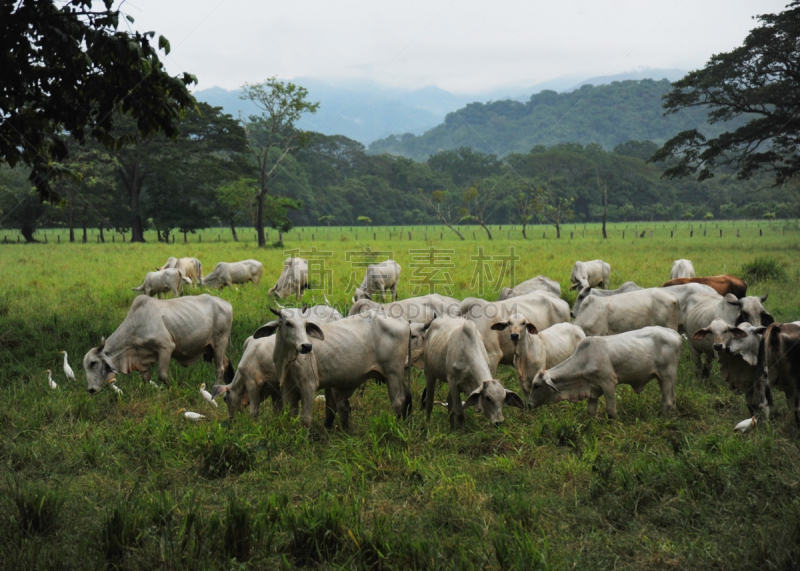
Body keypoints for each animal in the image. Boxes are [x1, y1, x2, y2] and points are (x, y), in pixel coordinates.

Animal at [83, 294, 233, 394]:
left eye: (93, 363)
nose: (90, 389)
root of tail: (227, 304)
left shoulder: (166, 347)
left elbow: (162, 375)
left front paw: (173, 388)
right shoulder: (143, 358)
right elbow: (146, 378)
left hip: (220, 342)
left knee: (220, 368)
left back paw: (215, 390)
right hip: (211, 347)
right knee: (225, 363)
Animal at [211, 304, 342, 420]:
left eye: (225, 399)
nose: (231, 419)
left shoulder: (252, 383)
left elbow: (254, 412)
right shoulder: (276, 389)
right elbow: (277, 411)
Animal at [252, 306, 412, 426]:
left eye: (305, 325)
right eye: (288, 323)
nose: (306, 346)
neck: (288, 361)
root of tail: (404, 321)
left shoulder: (308, 387)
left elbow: (305, 420)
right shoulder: (288, 391)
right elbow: (293, 417)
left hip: (393, 373)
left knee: (398, 402)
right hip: (396, 375)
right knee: (407, 398)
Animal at [532, 326, 680, 420]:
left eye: (537, 386)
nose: (529, 404)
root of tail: (673, 333)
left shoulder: (608, 383)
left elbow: (611, 411)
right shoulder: (592, 389)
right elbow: (591, 411)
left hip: (666, 376)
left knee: (667, 402)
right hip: (665, 379)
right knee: (672, 399)